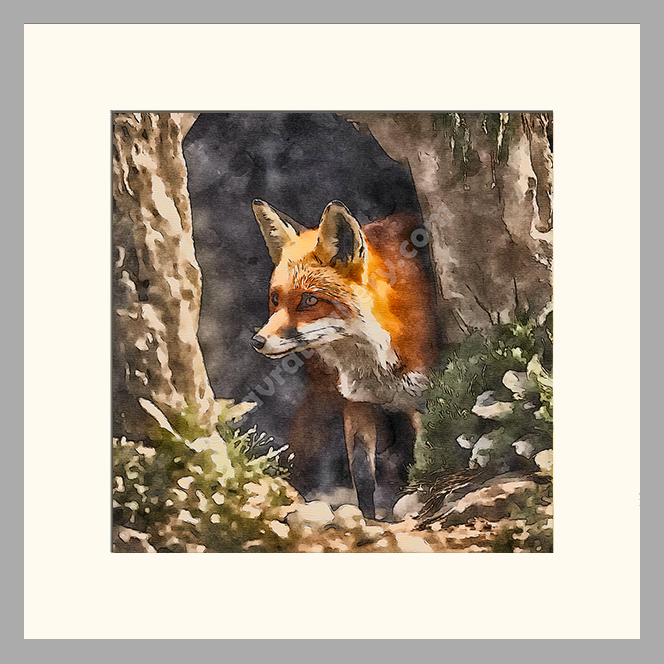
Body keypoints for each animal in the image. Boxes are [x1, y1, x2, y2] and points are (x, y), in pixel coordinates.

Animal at [251, 199, 439, 518]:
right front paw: (368, 519)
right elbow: (362, 475)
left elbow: (423, 456)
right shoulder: (356, 403)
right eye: (276, 299)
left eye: (309, 300)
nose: (258, 341)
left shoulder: (423, 398)